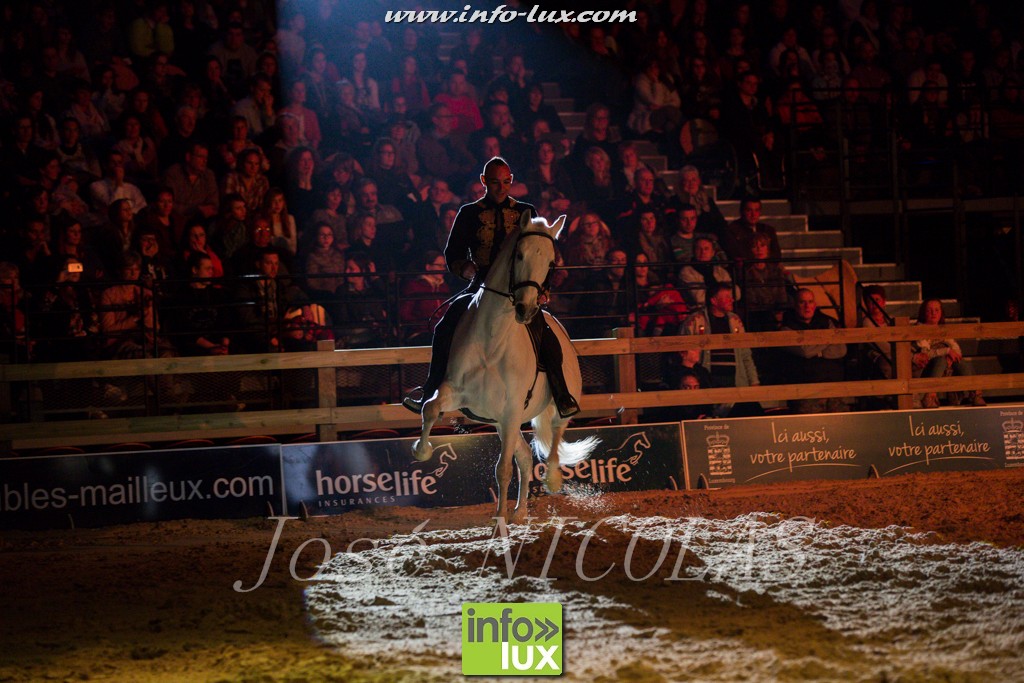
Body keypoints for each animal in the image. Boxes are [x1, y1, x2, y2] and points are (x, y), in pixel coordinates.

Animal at [411, 211, 600, 524]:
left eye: (551, 263)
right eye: (519, 255)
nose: (527, 308)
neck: (493, 339)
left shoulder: (511, 411)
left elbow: (503, 468)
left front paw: (499, 523)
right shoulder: (456, 393)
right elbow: (430, 408)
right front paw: (422, 450)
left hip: (547, 407)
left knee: (554, 437)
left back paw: (552, 480)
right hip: (500, 422)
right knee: (524, 457)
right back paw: (520, 512)